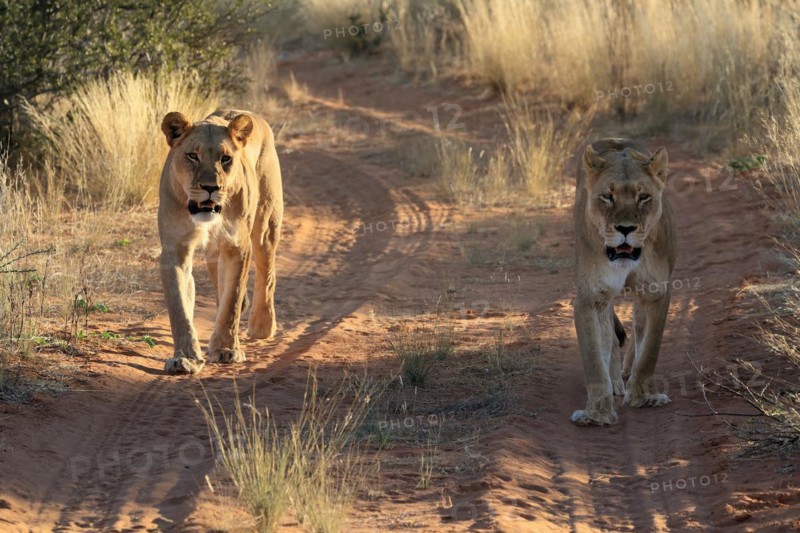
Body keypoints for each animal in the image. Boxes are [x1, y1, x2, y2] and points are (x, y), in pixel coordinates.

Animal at [158, 109, 283, 374]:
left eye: (226, 159)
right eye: (192, 156)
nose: (210, 188)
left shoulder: (237, 246)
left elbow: (232, 300)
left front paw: (226, 350)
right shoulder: (175, 249)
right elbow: (179, 307)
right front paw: (184, 358)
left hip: (265, 225)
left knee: (266, 270)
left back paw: (262, 325)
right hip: (214, 252)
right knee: (218, 282)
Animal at [571, 138, 676, 425]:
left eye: (644, 197)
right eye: (608, 196)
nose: (625, 229)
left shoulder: (655, 291)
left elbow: (650, 349)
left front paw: (644, 397)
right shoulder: (590, 296)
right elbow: (594, 358)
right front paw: (597, 413)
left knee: (638, 329)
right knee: (609, 334)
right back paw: (616, 381)